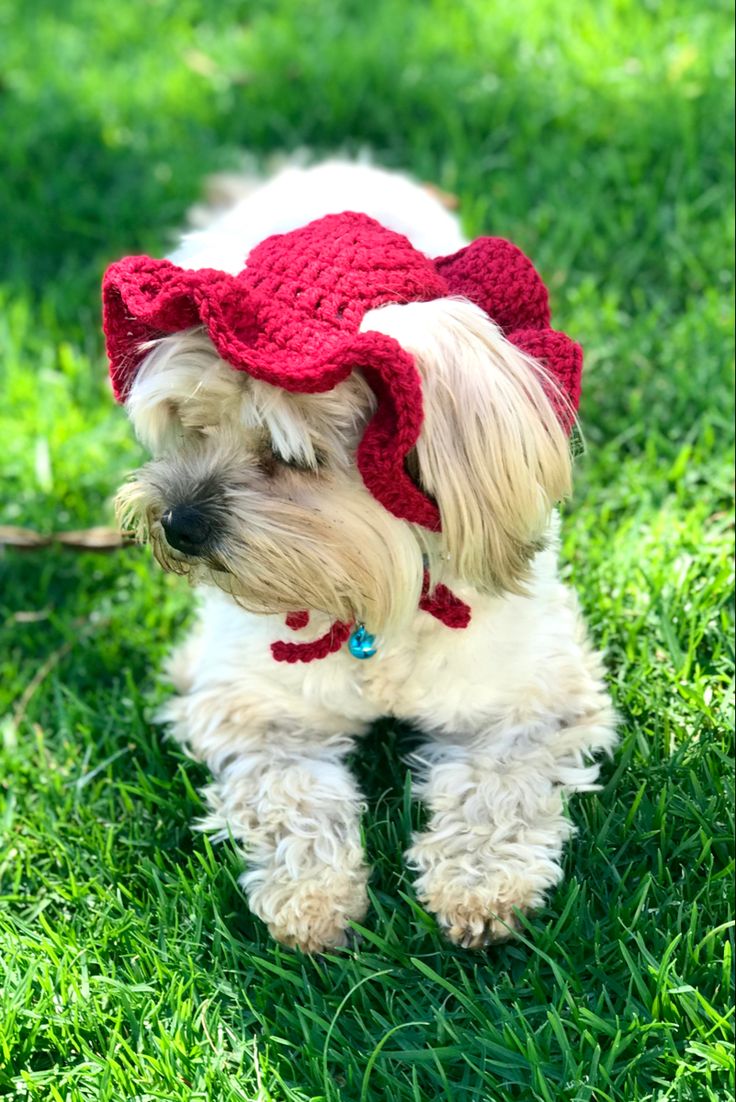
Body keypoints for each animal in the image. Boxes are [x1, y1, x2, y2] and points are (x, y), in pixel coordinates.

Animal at [107, 159, 617, 952]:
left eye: (288, 457)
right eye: (190, 427)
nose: (177, 523)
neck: (370, 600)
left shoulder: (530, 698)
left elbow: (500, 784)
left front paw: (481, 883)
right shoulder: (248, 703)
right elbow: (289, 791)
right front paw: (311, 896)